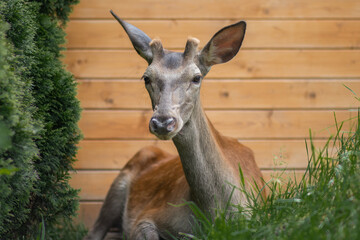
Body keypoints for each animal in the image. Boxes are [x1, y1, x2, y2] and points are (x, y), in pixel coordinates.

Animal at [83, 10, 264, 239]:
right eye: (146, 78)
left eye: (196, 77)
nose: (162, 122)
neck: (213, 213)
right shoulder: (144, 217)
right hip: (118, 186)